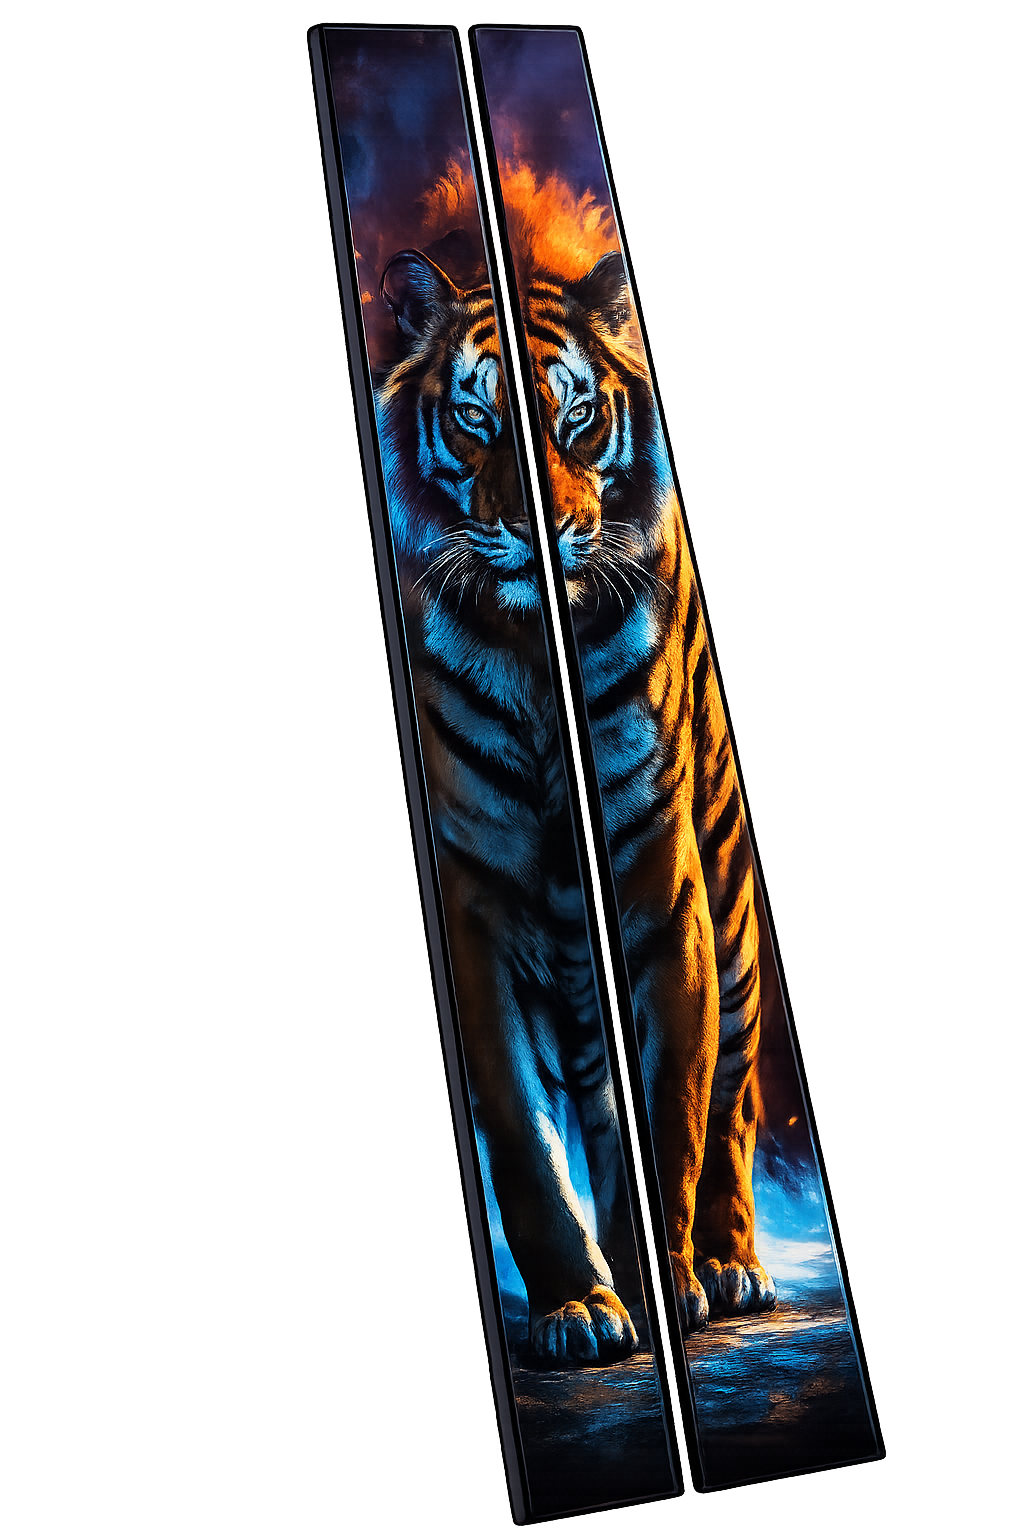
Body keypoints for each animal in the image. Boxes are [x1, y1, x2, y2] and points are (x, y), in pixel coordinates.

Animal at [374, 241, 774, 1367]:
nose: (540, 532)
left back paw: (731, 1262)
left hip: (732, 924)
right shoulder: (479, 912)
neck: (534, 652)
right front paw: (579, 1308)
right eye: (477, 419)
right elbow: (521, 1137)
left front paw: (669, 1285)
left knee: (735, 1100)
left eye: (578, 417)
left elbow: (671, 1116)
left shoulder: (661, 903)